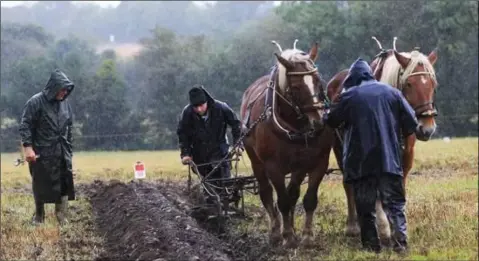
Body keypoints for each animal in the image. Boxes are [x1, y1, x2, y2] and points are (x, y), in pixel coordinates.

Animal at [239, 39, 334, 247]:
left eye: (318, 81)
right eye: (296, 87)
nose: (319, 122)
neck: (295, 126)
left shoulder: (314, 163)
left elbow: (306, 198)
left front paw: (306, 236)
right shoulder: (273, 166)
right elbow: (281, 200)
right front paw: (288, 236)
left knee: (292, 194)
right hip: (256, 161)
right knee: (266, 193)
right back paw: (276, 231)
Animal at [326, 36, 438, 242]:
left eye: (432, 84)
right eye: (409, 84)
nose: (427, 128)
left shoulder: (405, 156)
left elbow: (398, 188)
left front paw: (396, 226)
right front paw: (384, 226)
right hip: (339, 147)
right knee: (348, 185)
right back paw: (353, 225)